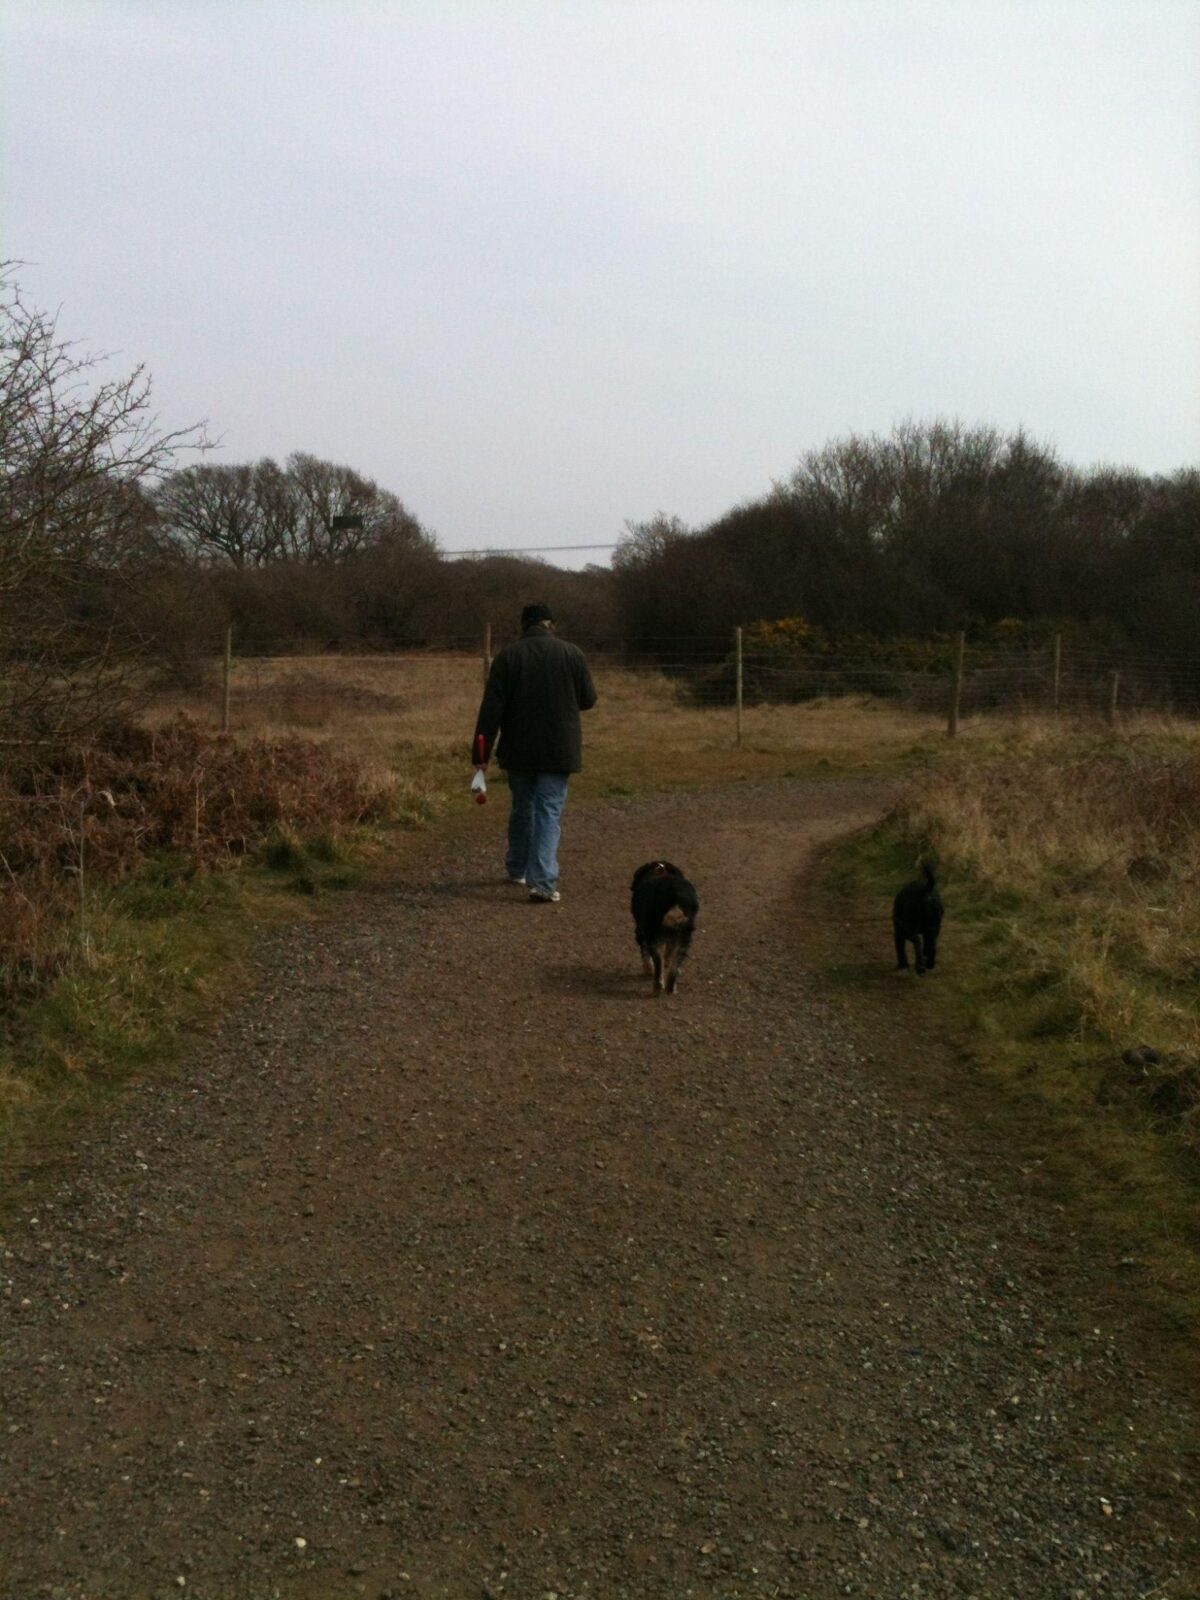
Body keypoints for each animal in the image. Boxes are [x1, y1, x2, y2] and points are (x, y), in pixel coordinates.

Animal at [633, 857, 700, 992]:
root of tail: (674, 896)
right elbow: (668, 954)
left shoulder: (641, 930)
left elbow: (645, 952)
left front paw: (648, 969)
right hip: (684, 934)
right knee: (675, 959)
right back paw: (670, 986)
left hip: (652, 931)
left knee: (657, 959)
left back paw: (658, 985)